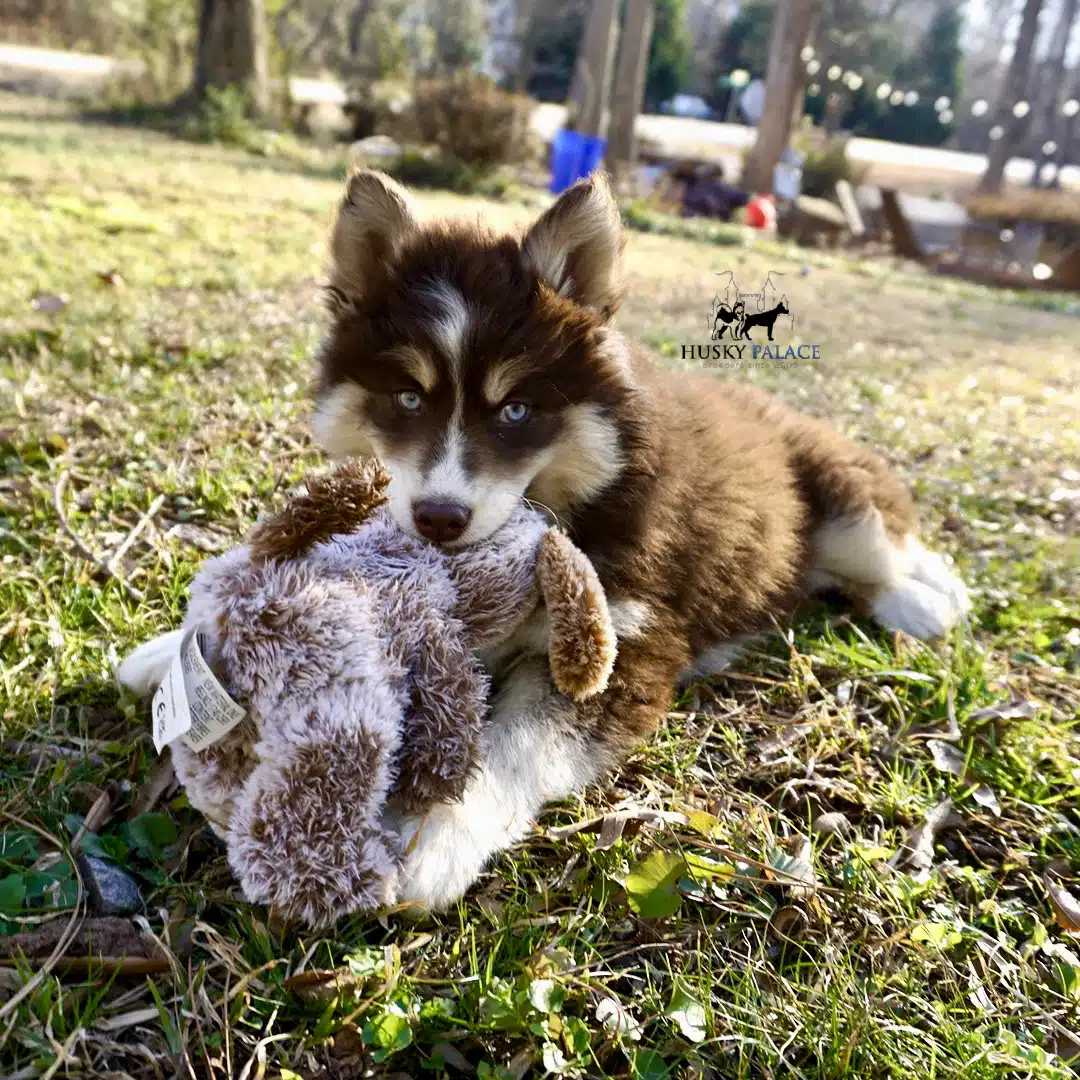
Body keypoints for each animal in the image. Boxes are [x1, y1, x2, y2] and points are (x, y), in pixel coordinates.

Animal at [120, 166, 972, 911]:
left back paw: (928, 598)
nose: (439, 519)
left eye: (517, 411)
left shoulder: (628, 638)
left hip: (846, 500)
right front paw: (169, 652)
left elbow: (516, 744)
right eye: (407, 398)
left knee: (889, 547)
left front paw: (437, 836)